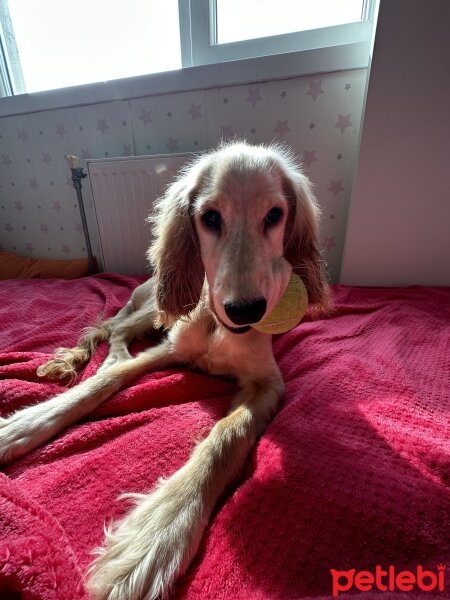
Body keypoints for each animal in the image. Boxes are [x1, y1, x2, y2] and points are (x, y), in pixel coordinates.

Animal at [0, 142, 330, 600]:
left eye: (274, 215)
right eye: (210, 217)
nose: (245, 310)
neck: (215, 325)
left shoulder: (267, 383)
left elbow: (225, 434)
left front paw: (159, 532)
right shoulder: (169, 347)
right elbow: (105, 382)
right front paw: (25, 423)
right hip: (154, 306)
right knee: (113, 329)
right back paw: (93, 358)